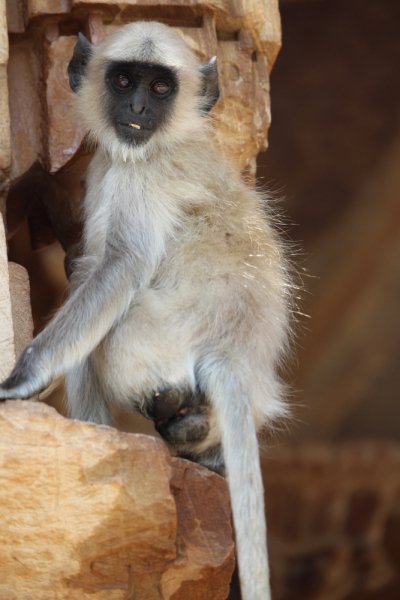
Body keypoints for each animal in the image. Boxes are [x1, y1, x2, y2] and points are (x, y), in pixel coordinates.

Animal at [0, 22, 294, 600]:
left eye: (160, 88)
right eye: (123, 80)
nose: (137, 105)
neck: (171, 140)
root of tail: (232, 351)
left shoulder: (136, 176)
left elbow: (120, 266)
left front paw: (21, 379)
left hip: (148, 338)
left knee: (93, 315)